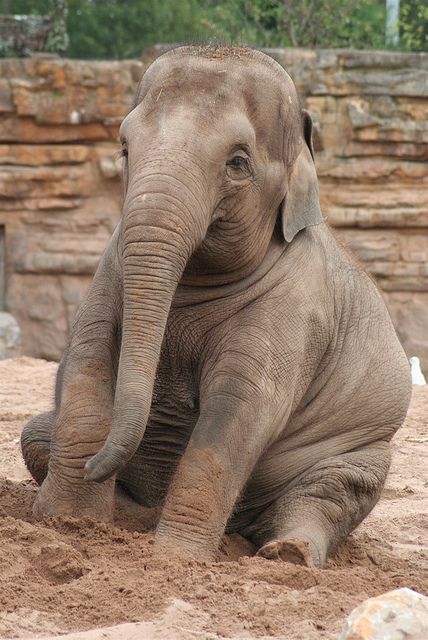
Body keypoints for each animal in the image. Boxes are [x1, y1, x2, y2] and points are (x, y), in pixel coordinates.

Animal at [21, 45, 410, 564]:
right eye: (124, 149)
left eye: (238, 163)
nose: (93, 468)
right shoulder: (112, 261)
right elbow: (89, 355)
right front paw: (68, 522)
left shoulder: (297, 311)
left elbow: (239, 406)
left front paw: (175, 556)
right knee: (33, 435)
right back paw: (133, 515)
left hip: (365, 447)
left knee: (331, 491)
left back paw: (287, 552)